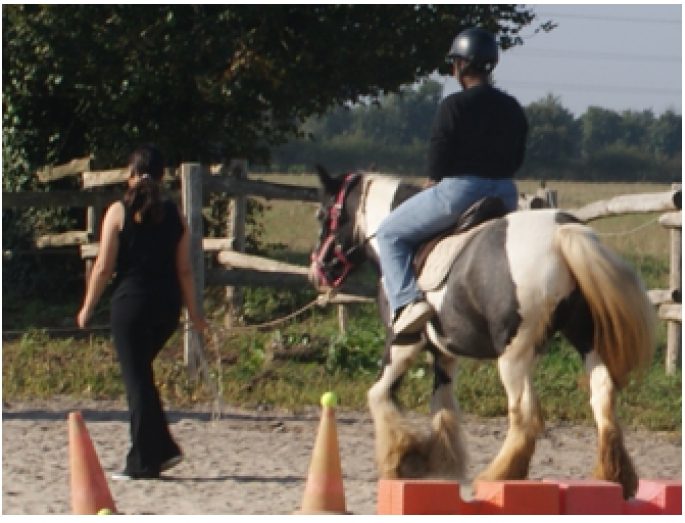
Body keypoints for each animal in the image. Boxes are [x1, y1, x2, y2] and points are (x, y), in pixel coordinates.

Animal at [308, 169, 656, 500]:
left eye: (323, 214)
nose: (319, 270)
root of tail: (560, 231)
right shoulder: (444, 352)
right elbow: (443, 405)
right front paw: (439, 462)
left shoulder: (403, 341)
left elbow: (379, 394)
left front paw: (401, 458)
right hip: (585, 339)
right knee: (603, 395)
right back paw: (614, 477)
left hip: (514, 355)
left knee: (525, 415)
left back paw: (498, 476)